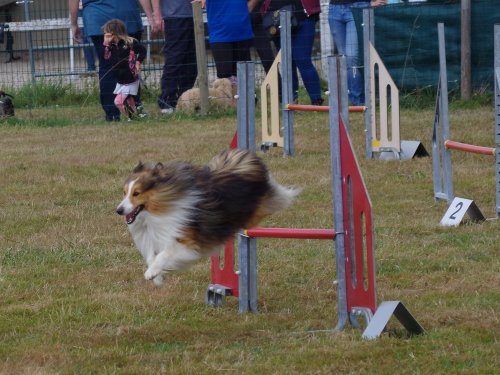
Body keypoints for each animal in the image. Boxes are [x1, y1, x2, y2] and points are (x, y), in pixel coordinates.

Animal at [116, 148, 300, 286]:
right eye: (124, 193)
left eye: (136, 193)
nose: (119, 210)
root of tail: (247, 160)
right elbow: (152, 256)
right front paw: (157, 277)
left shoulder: (187, 242)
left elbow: (164, 254)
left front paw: (151, 273)